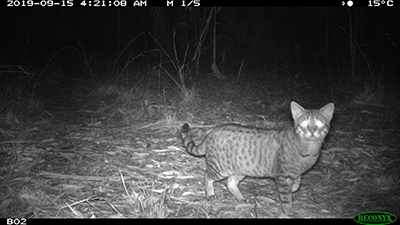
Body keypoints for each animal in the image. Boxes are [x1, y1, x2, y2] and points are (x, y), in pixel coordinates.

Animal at [179, 101, 334, 214]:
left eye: (319, 123)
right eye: (304, 123)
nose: (312, 131)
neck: (309, 148)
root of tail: (212, 131)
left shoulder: (296, 173)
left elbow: (297, 184)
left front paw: (293, 190)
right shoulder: (282, 176)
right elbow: (286, 198)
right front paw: (288, 211)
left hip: (241, 168)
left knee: (230, 183)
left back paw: (240, 198)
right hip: (221, 167)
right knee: (207, 175)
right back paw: (210, 194)